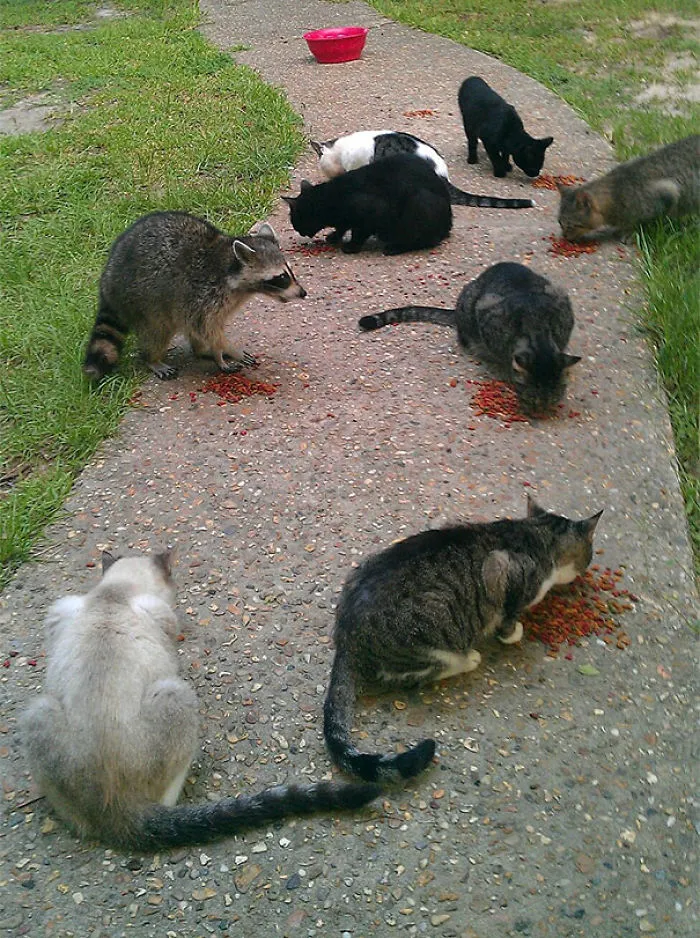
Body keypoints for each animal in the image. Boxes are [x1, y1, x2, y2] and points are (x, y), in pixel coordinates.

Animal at [83, 212, 306, 381]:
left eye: (290, 272)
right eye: (282, 277)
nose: (303, 293)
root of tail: (107, 280)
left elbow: (208, 328)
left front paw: (217, 351)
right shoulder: (203, 295)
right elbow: (207, 328)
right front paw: (227, 349)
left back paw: (199, 350)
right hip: (142, 300)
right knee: (157, 331)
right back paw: (152, 358)